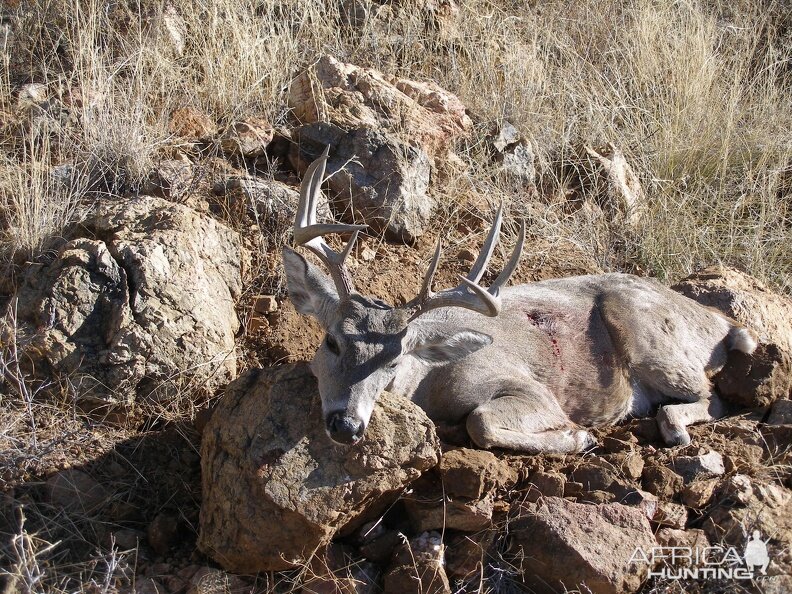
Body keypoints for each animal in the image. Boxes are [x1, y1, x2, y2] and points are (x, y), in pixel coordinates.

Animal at [282, 146, 756, 450]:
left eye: (394, 361)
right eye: (331, 341)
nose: (346, 425)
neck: (428, 382)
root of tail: (719, 322)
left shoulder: (529, 388)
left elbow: (480, 421)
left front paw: (579, 436)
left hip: (647, 333)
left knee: (710, 395)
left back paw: (673, 427)